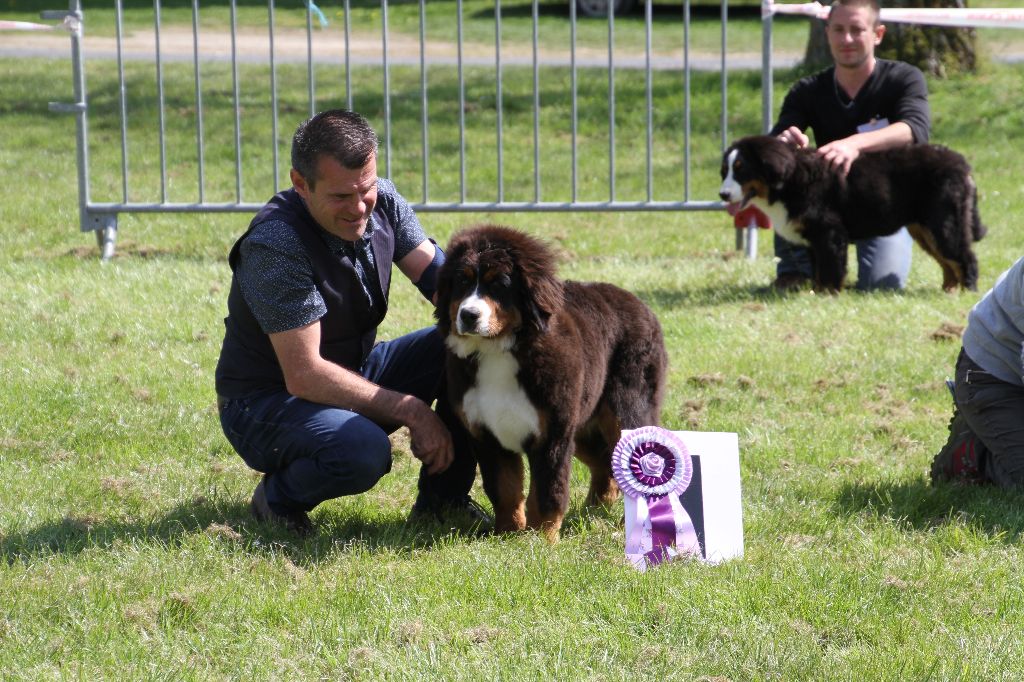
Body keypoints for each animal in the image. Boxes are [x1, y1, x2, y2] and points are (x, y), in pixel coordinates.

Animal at [436, 225, 667, 540]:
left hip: (625, 410)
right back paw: (594, 511)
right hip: (583, 424)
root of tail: (640, 304)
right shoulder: (487, 434)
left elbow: (548, 491)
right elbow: (505, 490)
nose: (469, 315)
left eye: (499, 284)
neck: (499, 350)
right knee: (604, 463)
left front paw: (542, 539)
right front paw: (507, 534)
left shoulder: (553, 433)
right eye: (462, 280)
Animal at [720, 134, 983, 290]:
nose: (722, 195)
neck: (790, 180)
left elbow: (831, 268)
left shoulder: (829, 232)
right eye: (725, 171)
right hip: (924, 230)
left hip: (944, 224)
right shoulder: (814, 237)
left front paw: (828, 294)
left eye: (741, 169)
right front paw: (814, 293)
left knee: (965, 258)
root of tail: (961, 162)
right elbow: (818, 269)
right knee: (948, 263)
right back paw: (949, 290)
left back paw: (966, 292)